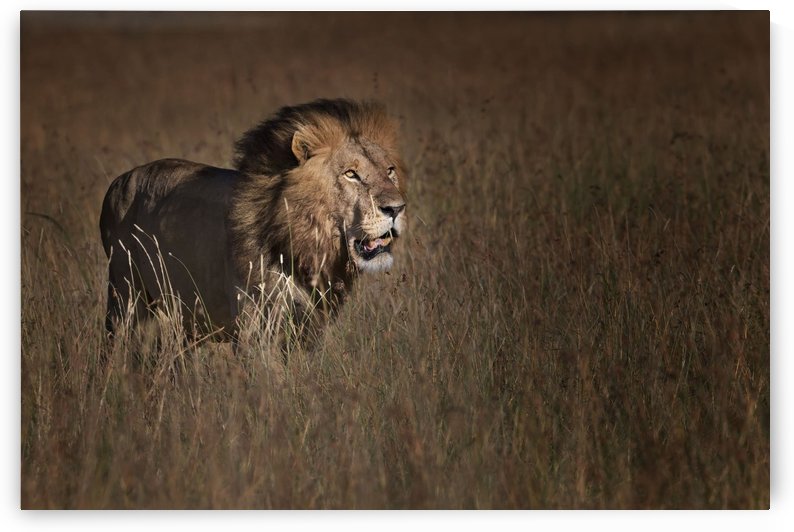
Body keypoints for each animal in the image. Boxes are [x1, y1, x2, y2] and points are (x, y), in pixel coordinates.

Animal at [99, 99, 407, 342]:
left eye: (390, 171)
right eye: (351, 174)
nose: (396, 208)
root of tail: (118, 181)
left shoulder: (309, 329)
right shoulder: (255, 330)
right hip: (125, 300)